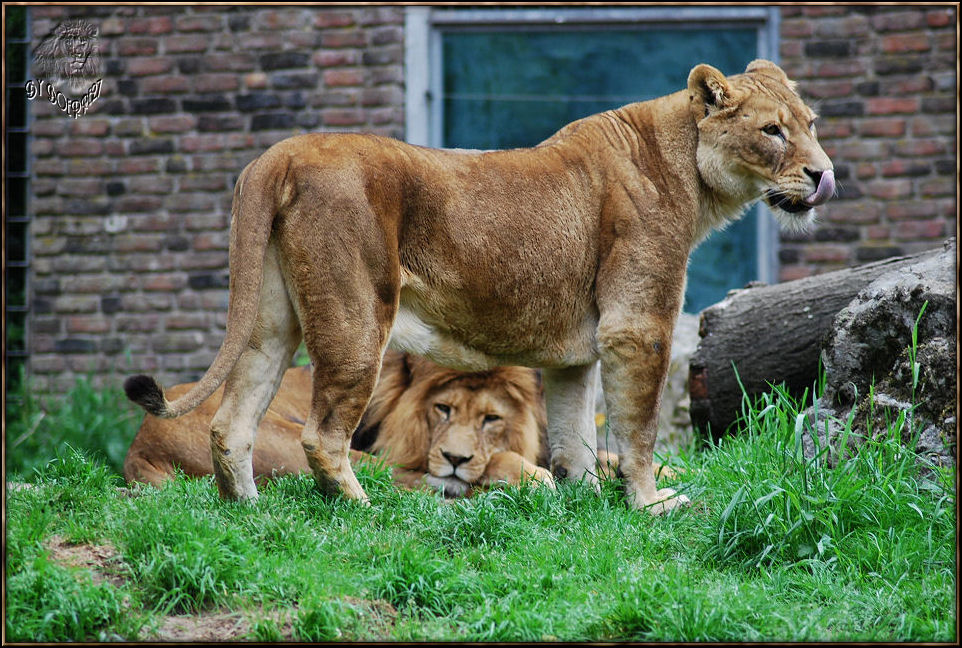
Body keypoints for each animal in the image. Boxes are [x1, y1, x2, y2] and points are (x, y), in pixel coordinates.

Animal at [124, 352, 560, 494]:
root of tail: (139, 444)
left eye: (491, 418)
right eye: (443, 409)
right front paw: (534, 476)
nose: (455, 457)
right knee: (407, 482)